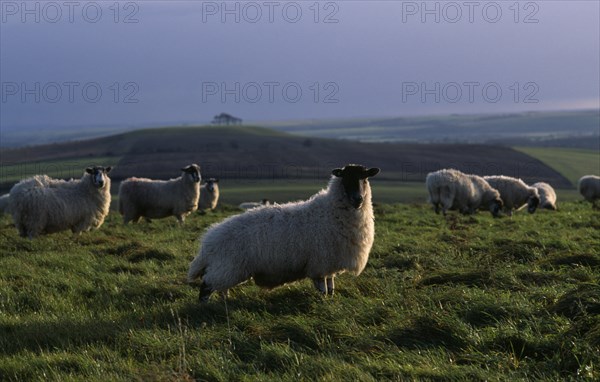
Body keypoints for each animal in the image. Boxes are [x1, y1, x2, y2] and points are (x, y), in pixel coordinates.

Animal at [189, 164, 380, 302]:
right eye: (346, 178)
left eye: (364, 178)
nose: (358, 199)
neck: (331, 211)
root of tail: (209, 241)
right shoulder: (319, 263)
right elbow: (323, 289)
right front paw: (323, 302)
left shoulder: (330, 262)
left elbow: (331, 286)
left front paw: (331, 301)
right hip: (227, 265)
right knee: (206, 287)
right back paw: (205, 307)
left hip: (227, 268)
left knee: (221, 288)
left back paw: (225, 304)